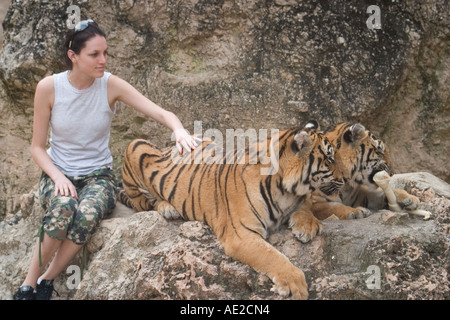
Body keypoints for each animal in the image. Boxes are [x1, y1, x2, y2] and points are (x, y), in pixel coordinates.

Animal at [119, 120, 344, 300]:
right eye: (329, 159)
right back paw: (167, 207)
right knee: (144, 203)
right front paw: (295, 284)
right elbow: (272, 256)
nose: (345, 179)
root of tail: (168, 147)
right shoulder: (241, 234)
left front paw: (307, 226)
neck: (286, 191)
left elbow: (306, 206)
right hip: (135, 146)